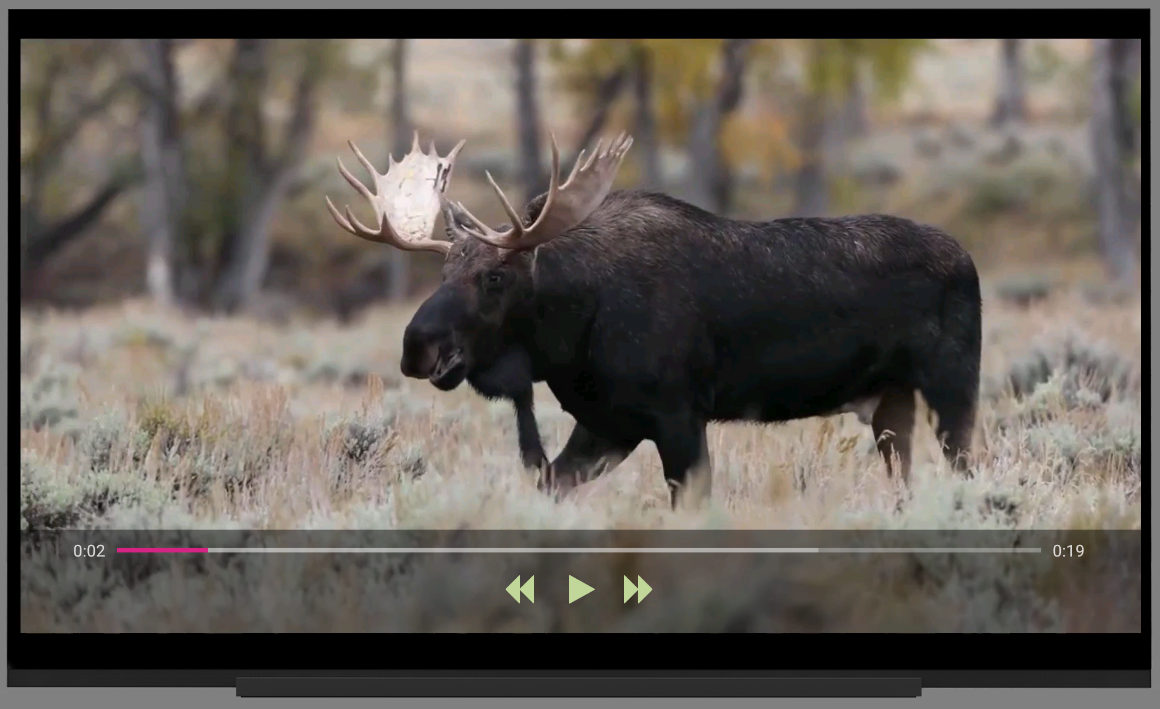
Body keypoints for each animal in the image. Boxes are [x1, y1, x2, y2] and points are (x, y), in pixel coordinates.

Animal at [324, 128, 979, 510]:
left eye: (495, 277)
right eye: (442, 271)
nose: (417, 346)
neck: (569, 336)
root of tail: (967, 257)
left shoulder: (679, 415)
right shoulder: (607, 424)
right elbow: (551, 485)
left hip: (952, 390)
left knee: (964, 471)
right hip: (892, 404)